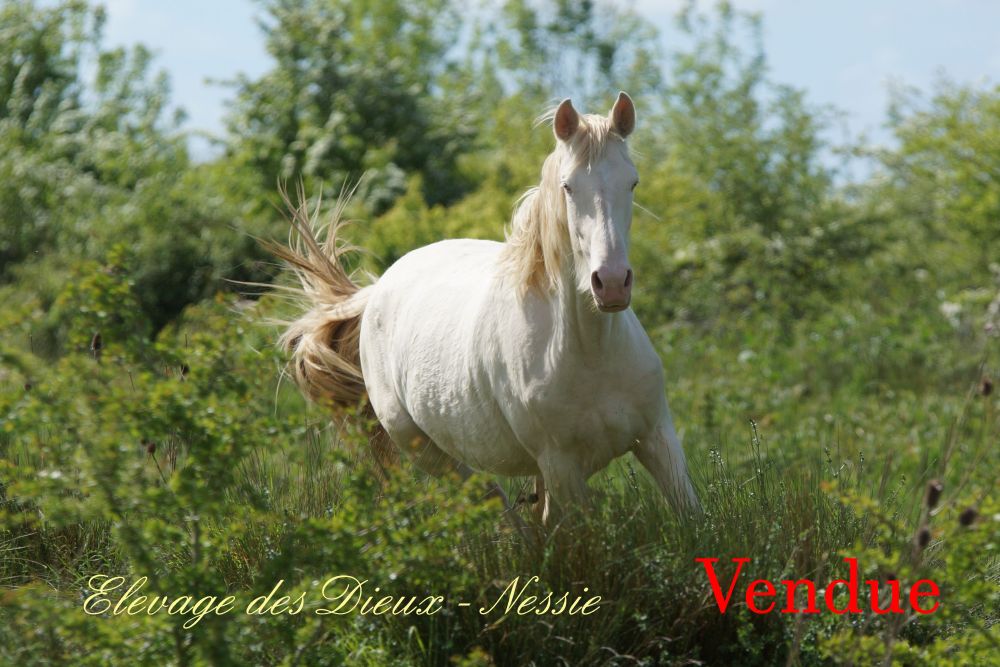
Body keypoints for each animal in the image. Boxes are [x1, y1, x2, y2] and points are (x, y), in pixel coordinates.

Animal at [274, 92, 700, 524]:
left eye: (632, 182)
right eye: (567, 187)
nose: (611, 283)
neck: (590, 353)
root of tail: (377, 289)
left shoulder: (657, 439)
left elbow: (691, 518)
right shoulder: (562, 467)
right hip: (436, 455)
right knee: (500, 509)